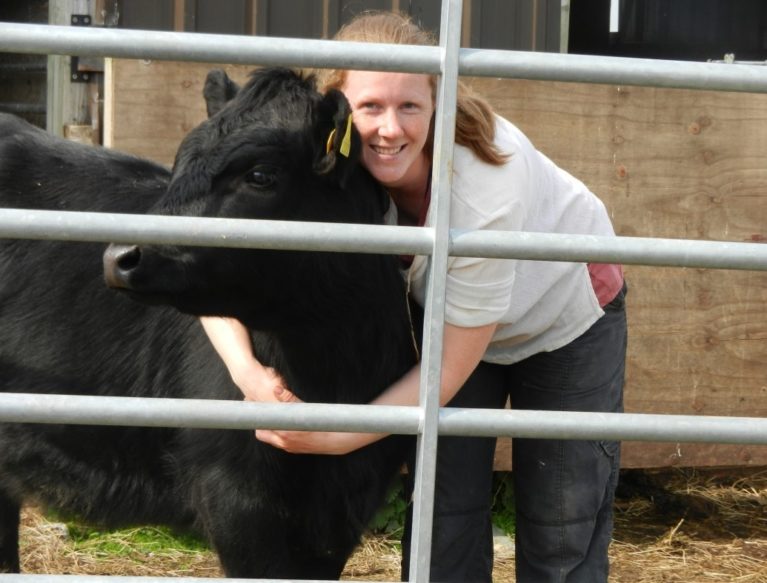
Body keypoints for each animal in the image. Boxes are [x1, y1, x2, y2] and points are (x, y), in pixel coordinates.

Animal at [0, 68, 420, 580]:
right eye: (180, 162)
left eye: (260, 175)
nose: (119, 256)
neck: (329, 368)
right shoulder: (235, 497)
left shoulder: (346, 502)